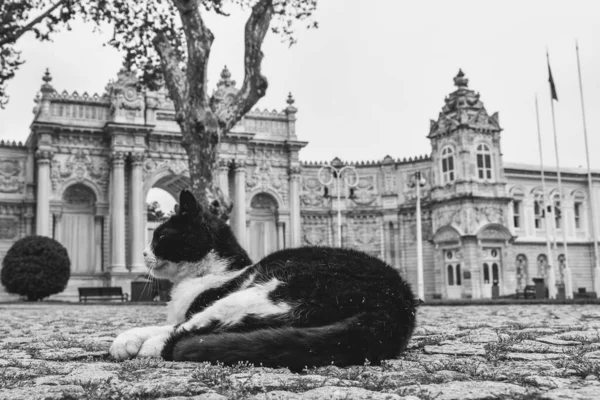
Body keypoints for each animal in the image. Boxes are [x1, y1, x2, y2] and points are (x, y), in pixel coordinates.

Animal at [109, 191, 418, 372]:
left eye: (160, 236)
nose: (143, 253)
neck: (210, 273)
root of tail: (396, 302)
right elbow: (159, 323)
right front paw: (127, 339)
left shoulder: (205, 304)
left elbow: (176, 325)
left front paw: (132, 342)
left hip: (262, 292)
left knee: (198, 330)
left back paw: (152, 348)